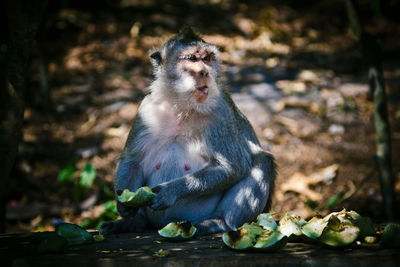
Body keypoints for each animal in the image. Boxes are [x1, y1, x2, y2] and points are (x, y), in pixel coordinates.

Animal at [99, 26, 276, 237]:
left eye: (206, 58)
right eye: (191, 58)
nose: (204, 72)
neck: (182, 107)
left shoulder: (221, 113)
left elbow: (233, 166)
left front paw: (170, 192)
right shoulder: (146, 110)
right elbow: (132, 160)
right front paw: (124, 206)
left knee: (262, 161)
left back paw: (219, 221)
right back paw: (134, 222)